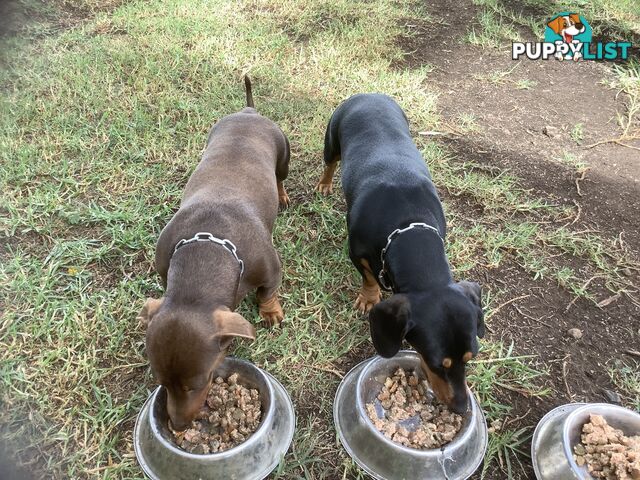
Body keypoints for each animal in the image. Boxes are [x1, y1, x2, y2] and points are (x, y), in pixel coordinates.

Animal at [141, 77, 292, 430]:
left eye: (198, 383)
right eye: (161, 382)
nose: (177, 426)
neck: (208, 245)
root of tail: (249, 112)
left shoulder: (271, 269)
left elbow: (267, 293)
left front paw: (270, 313)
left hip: (283, 155)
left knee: (280, 178)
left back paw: (282, 196)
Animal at [316, 94, 484, 412]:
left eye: (471, 357)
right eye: (437, 363)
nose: (461, 408)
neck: (407, 223)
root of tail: (368, 94)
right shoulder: (356, 252)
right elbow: (369, 277)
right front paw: (369, 299)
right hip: (331, 139)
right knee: (330, 162)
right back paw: (324, 183)